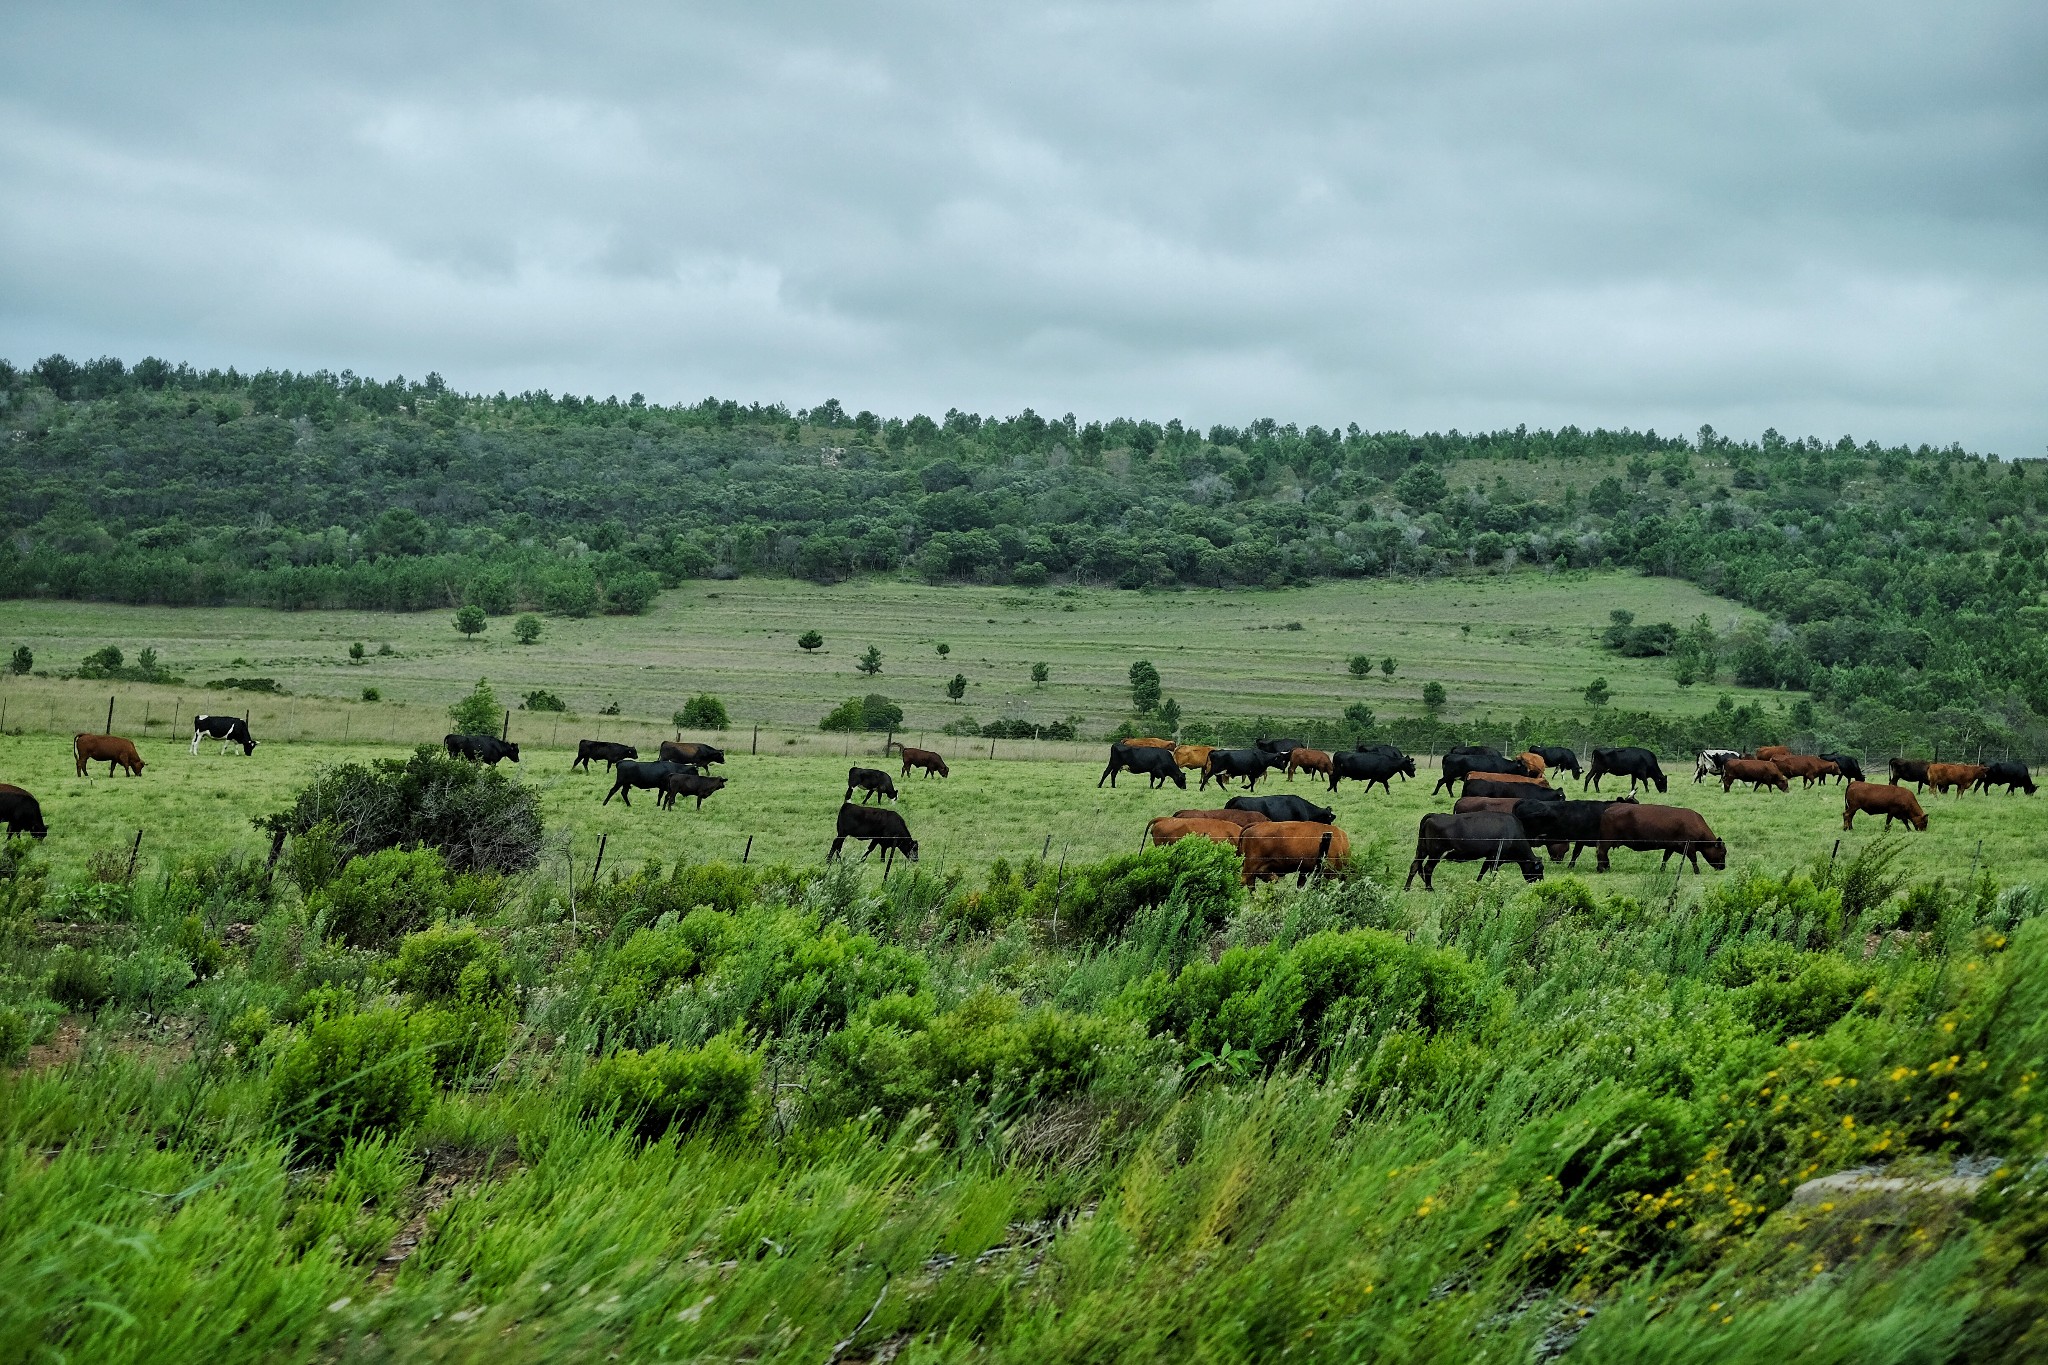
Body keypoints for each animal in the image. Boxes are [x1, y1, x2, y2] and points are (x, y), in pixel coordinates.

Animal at [1400, 810, 1540, 896]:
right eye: (1539, 870)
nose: (1540, 883)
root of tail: (1434, 815)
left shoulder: (1490, 856)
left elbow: (1482, 871)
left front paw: (1477, 884)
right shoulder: (1496, 857)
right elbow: (1493, 873)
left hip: (1422, 850)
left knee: (1414, 866)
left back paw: (1407, 888)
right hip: (1436, 853)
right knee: (1427, 868)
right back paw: (1429, 888)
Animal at [1589, 802, 1720, 875]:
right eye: (1722, 852)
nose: (1722, 867)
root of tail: (1611, 807)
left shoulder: (1670, 846)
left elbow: (1665, 858)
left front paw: (1662, 870)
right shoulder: (1689, 847)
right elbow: (1694, 860)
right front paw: (1697, 871)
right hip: (1606, 841)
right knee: (1601, 852)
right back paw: (1601, 868)